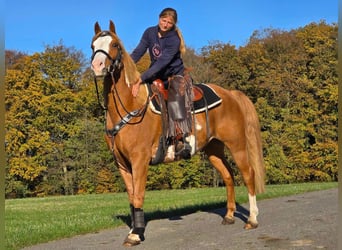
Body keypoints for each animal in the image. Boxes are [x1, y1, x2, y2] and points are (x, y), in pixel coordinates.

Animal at [90, 20, 264, 247]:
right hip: (213, 149)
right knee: (228, 175)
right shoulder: (122, 164)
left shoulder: (139, 160)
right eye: (93, 46)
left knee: (248, 174)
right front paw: (133, 230)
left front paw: (136, 234)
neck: (130, 105)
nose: (97, 66)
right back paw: (229, 215)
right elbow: (131, 197)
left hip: (237, 145)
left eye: (115, 45)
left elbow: (138, 196)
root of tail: (231, 94)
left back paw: (252, 219)